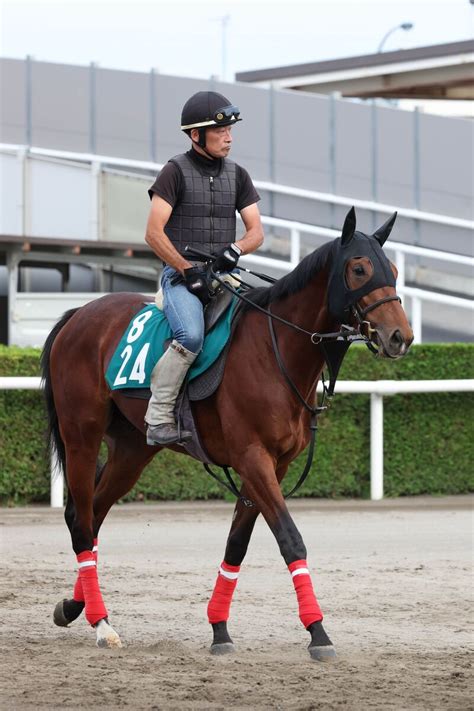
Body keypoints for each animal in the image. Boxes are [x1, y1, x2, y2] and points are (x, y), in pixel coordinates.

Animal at [41, 207, 412, 660]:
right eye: (359, 269)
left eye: (394, 270)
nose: (401, 336)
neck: (275, 350)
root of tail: (77, 315)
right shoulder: (252, 457)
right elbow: (291, 539)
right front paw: (318, 632)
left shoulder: (274, 464)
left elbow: (237, 543)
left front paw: (219, 628)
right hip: (82, 434)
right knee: (81, 519)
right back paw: (101, 624)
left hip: (131, 449)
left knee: (92, 516)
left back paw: (73, 606)